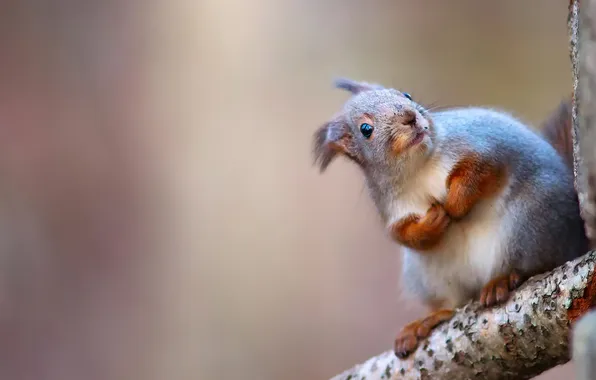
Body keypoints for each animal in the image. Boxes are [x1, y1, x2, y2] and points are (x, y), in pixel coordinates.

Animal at [314, 78, 588, 360]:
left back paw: (503, 279)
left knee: (535, 264)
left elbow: (479, 173)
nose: (410, 117)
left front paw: (453, 206)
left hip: (530, 219)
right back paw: (428, 320)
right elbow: (403, 234)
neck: (417, 168)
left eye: (406, 95)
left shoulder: (483, 147)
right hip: (427, 272)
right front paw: (432, 223)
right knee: (452, 304)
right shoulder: (392, 209)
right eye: (366, 129)